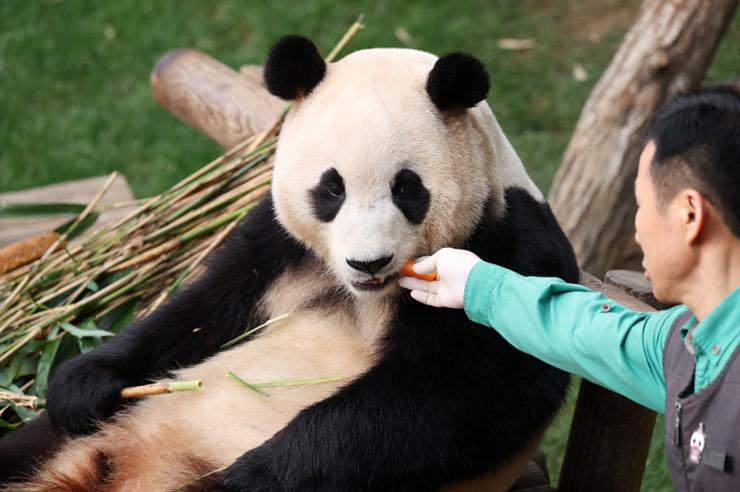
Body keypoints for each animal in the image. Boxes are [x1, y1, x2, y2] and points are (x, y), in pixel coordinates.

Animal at [0, 35, 580, 492]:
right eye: (332, 188)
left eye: (407, 189)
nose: (368, 262)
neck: (368, 294)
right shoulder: (277, 246)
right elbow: (202, 309)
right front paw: (83, 381)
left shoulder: (510, 247)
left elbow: (456, 395)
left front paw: (256, 473)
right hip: (85, 430)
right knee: (32, 440)